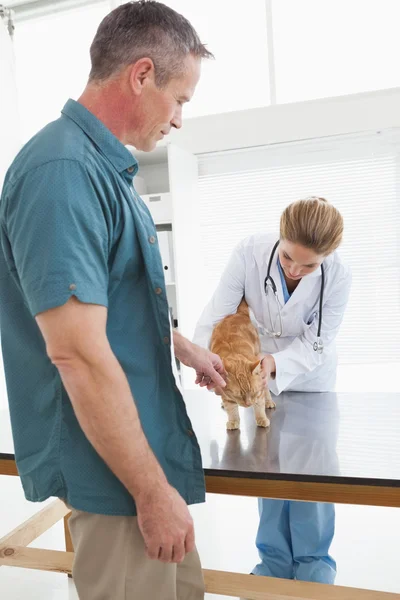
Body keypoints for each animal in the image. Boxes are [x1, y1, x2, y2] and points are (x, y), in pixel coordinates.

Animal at [209, 300, 276, 432]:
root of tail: (238, 314)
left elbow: (259, 405)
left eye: (253, 392)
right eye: (238, 395)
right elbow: (232, 409)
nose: (249, 404)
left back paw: (269, 402)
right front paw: (233, 421)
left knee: (266, 389)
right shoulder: (226, 394)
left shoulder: (259, 390)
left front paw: (262, 419)